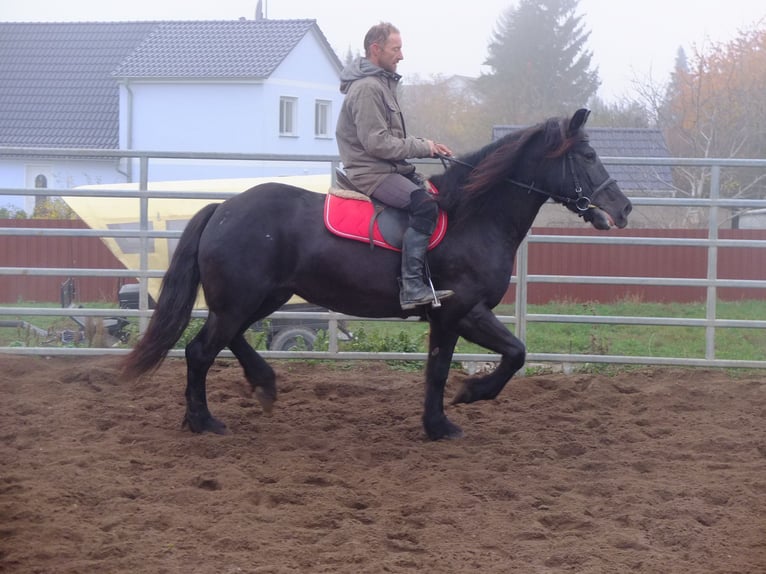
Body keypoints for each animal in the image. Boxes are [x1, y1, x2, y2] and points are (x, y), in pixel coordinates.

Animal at [123, 109, 632, 440]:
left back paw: (261, 384)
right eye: (588, 155)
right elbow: (514, 354)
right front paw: (470, 395)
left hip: (260, 299)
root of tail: (222, 209)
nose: (623, 208)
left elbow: (437, 370)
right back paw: (204, 421)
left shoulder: (445, 319)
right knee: (200, 351)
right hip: (241, 301)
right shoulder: (465, 311)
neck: (473, 216)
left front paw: (437, 425)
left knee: (224, 342)